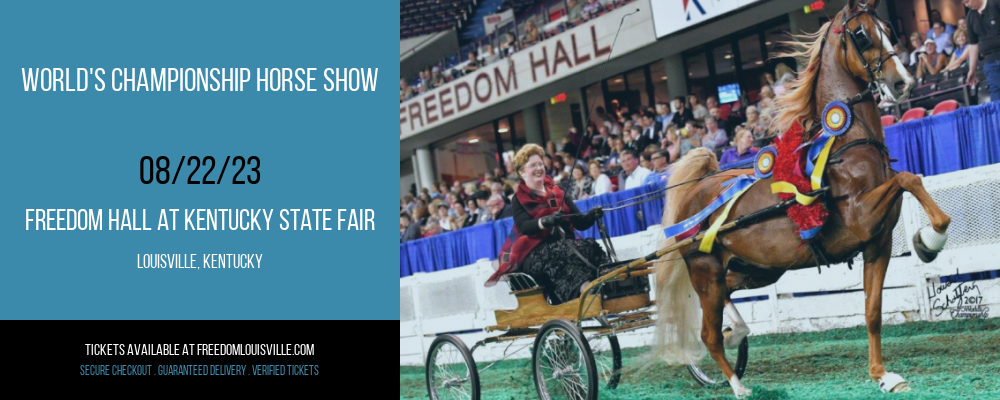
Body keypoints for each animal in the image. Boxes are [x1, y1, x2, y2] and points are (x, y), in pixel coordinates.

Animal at [652, 0, 948, 396]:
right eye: (861, 35)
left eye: (890, 30)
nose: (904, 82)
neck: (846, 144)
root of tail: (695, 197)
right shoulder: (862, 216)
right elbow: (908, 178)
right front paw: (930, 240)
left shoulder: (877, 243)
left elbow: (872, 311)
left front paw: (883, 376)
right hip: (706, 274)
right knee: (707, 335)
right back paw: (737, 385)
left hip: (756, 269)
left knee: (727, 305)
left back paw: (737, 334)